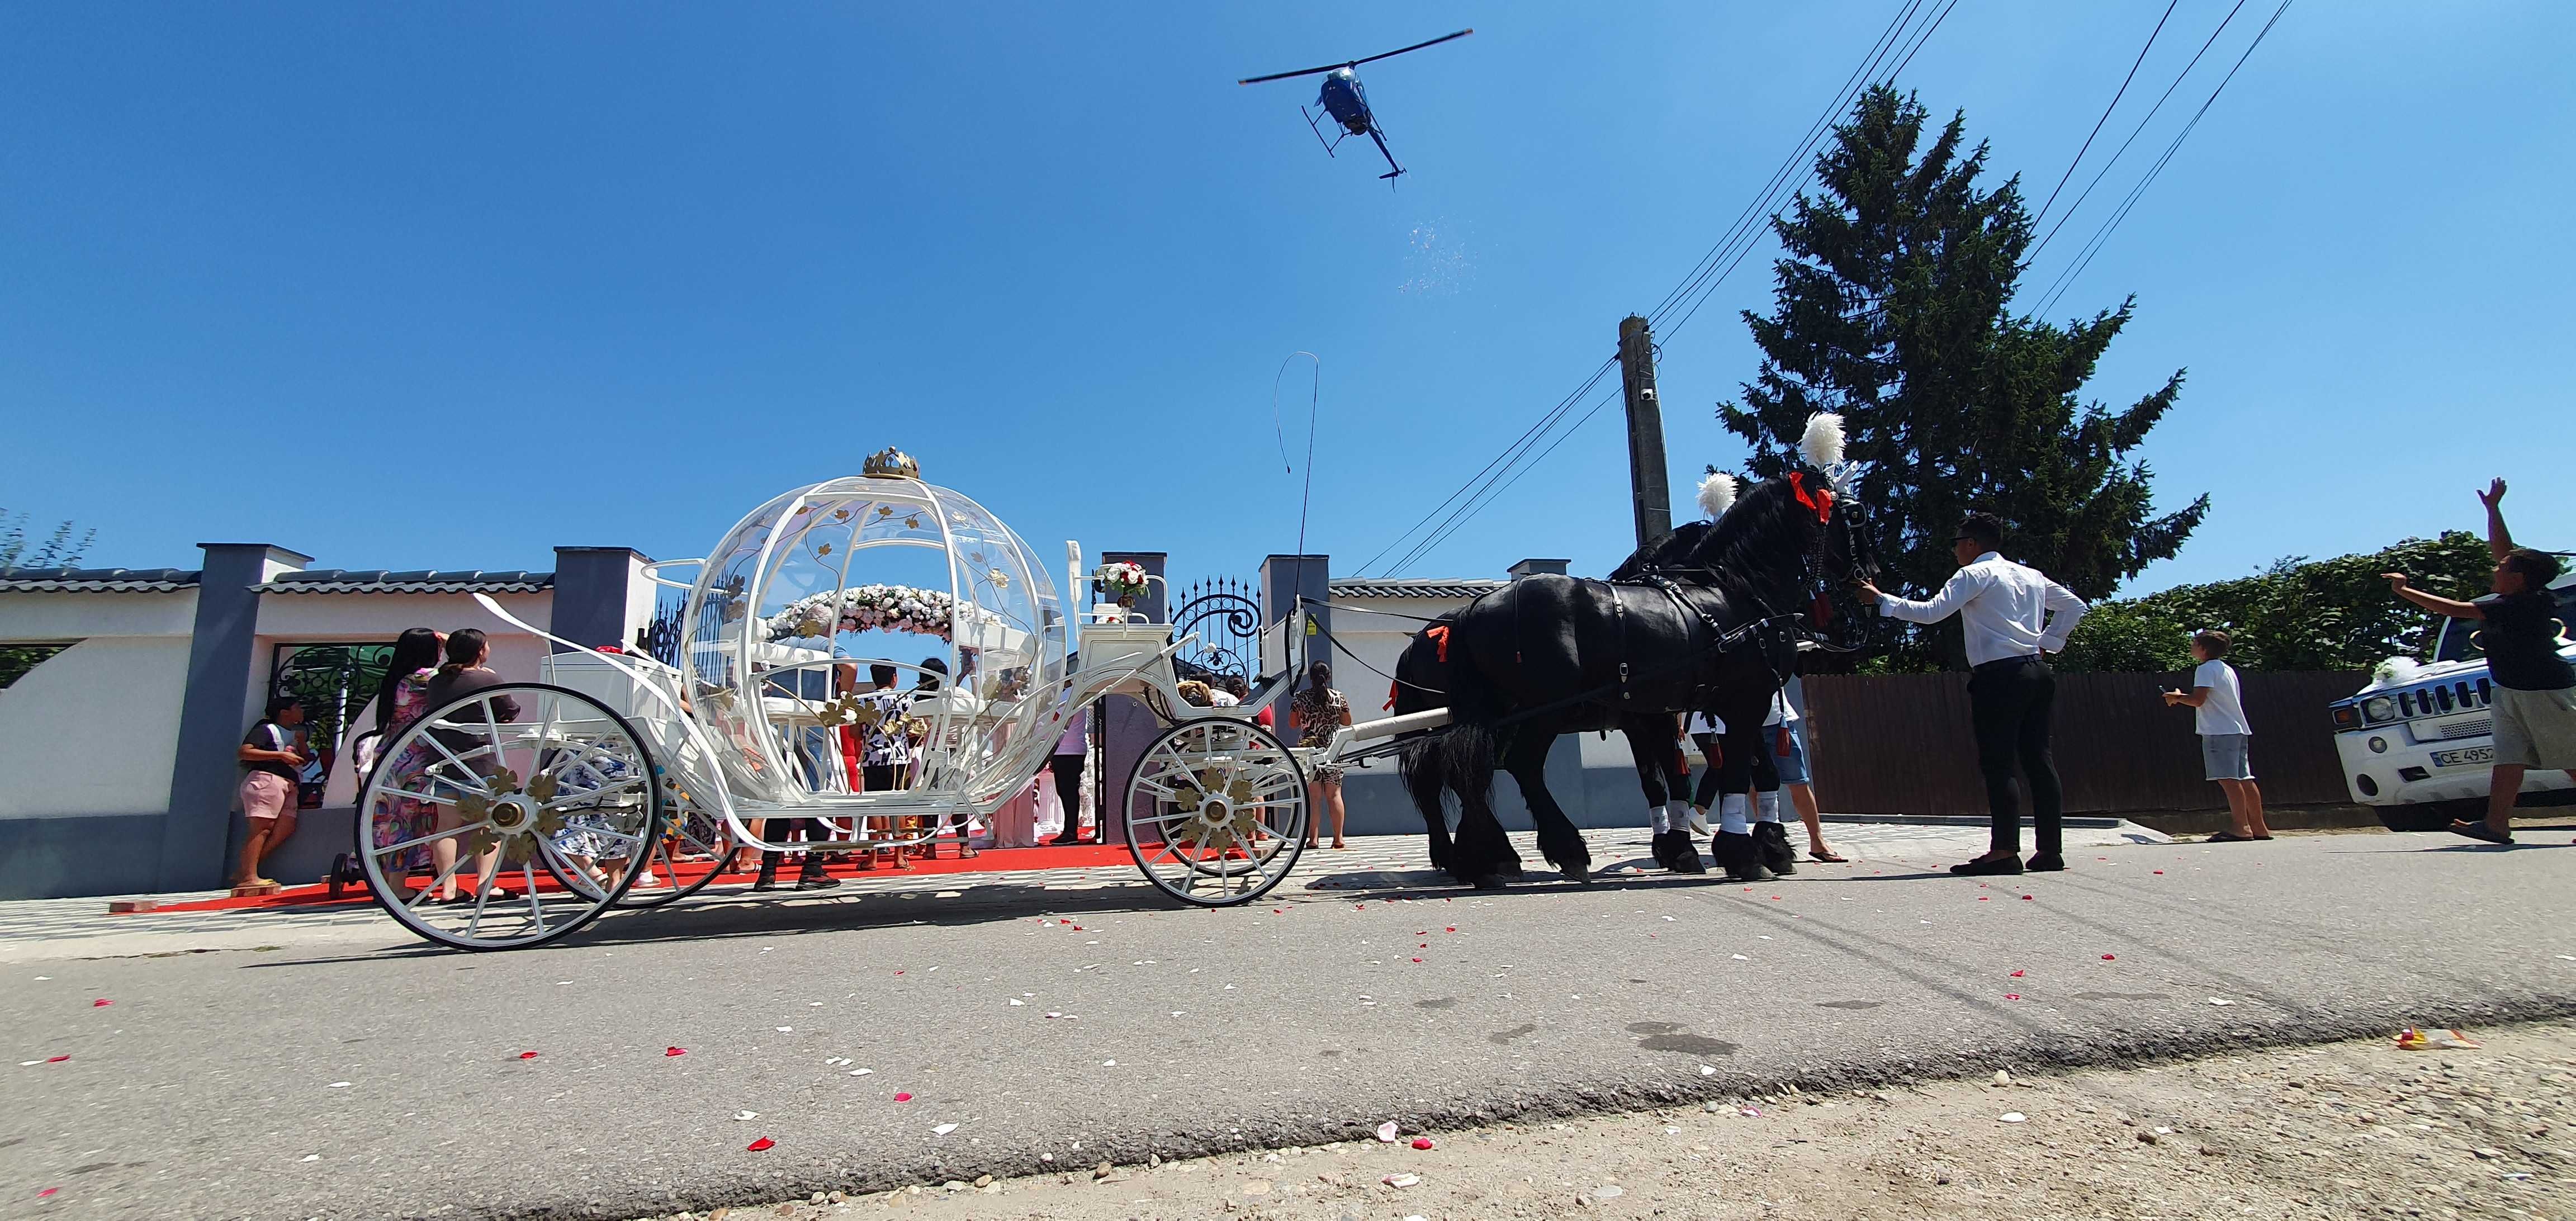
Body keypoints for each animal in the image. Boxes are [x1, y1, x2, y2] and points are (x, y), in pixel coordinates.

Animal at [1401, 458, 1886, 886]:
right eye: (1857, 515)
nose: (1871, 576)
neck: (1735, 589)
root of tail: (1470, 612)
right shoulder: (1739, 700)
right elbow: (1723, 775)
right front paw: (1739, 852)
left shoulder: (1678, 713)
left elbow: (1697, 778)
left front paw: (1762, 847)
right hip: (1541, 710)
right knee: (1511, 767)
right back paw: (1552, 852)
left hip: (1499, 714)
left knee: (1465, 775)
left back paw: (1483, 859)